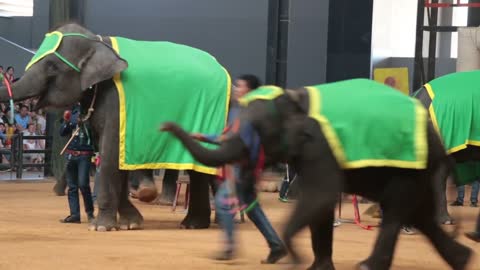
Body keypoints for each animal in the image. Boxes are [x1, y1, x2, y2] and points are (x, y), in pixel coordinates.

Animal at [0, 23, 232, 232]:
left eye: (51, 66)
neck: (98, 41)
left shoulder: (115, 103)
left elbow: (110, 155)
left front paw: (100, 227)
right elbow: (114, 158)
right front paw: (131, 223)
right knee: (199, 170)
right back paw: (194, 224)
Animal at [162, 80, 472, 270]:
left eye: (258, 130)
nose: (164, 125)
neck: (293, 97)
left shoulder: (319, 145)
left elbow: (320, 195)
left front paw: (295, 259)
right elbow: (321, 204)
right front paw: (316, 266)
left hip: (410, 165)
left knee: (398, 210)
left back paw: (367, 265)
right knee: (418, 215)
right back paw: (463, 259)